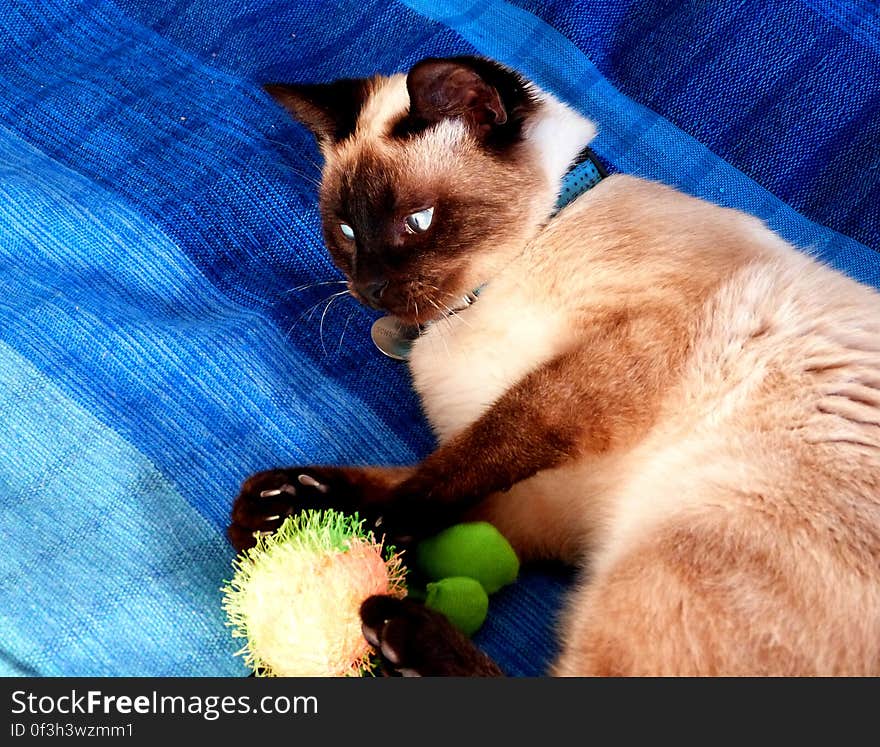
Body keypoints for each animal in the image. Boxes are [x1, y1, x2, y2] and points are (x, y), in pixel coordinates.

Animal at [230, 57, 880, 676]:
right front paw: (283, 509)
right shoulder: (550, 506)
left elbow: (462, 461)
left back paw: (399, 631)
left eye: (418, 221)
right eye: (345, 229)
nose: (368, 289)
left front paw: (358, 521)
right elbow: (442, 476)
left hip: (683, 543)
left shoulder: (614, 360)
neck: (473, 303)